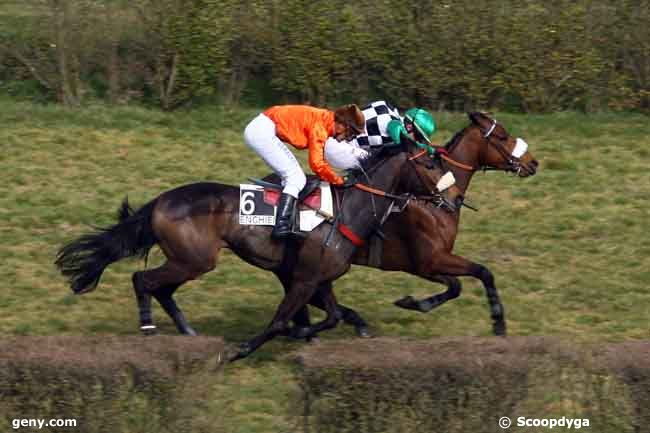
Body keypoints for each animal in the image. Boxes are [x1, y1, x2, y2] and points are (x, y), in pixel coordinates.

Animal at [54, 138, 460, 358]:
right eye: (428, 162)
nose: (451, 197)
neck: (347, 210)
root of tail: (159, 201)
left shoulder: (320, 279)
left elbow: (332, 315)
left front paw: (309, 333)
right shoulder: (303, 279)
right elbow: (282, 320)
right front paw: (244, 349)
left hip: (191, 261)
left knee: (162, 288)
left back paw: (187, 332)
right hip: (193, 260)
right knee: (143, 280)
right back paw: (149, 329)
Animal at [296, 109, 540, 336]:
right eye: (502, 136)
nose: (533, 163)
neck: (433, 203)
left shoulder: (425, 266)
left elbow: (456, 286)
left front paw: (412, 302)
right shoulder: (430, 260)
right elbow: (482, 272)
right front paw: (499, 322)